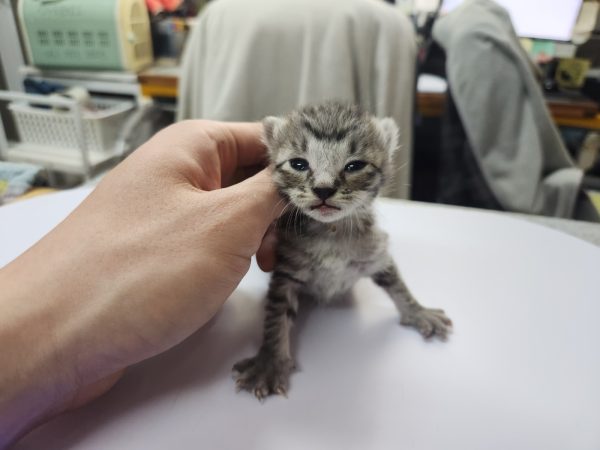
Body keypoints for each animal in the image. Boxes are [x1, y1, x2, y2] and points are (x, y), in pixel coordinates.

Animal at [233, 103, 450, 400]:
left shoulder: (376, 253)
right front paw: (270, 362)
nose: (323, 189)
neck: (331, 232)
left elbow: (398, 285)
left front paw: (418, 311)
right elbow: (276, 316)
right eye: (298, 164)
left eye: (355, 165)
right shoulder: (287, 270)